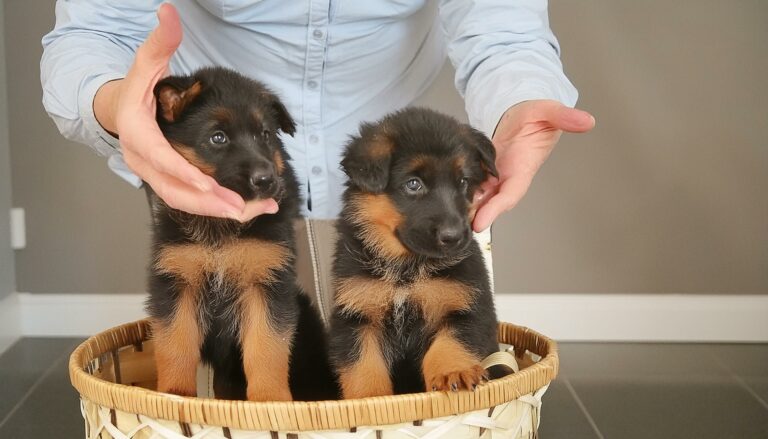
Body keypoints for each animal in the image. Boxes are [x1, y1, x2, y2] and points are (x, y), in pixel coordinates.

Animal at [144, 68, 336, 402]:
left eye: (265, 135)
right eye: (218, 137)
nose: (267, 180)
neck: (221, 230)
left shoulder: (267, 287)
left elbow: (266, 349)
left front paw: (270, 400)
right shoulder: (176, 284)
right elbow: (176, 345)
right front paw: (175, 395)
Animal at [332, 107, 504, 398]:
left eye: (463, 182)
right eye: (413, 184)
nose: (454, 237)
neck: (406, 271)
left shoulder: (468, 308)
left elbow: (451, 341)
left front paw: (452, 370)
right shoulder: (356, 318)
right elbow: (363, 365)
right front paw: (369, 398)